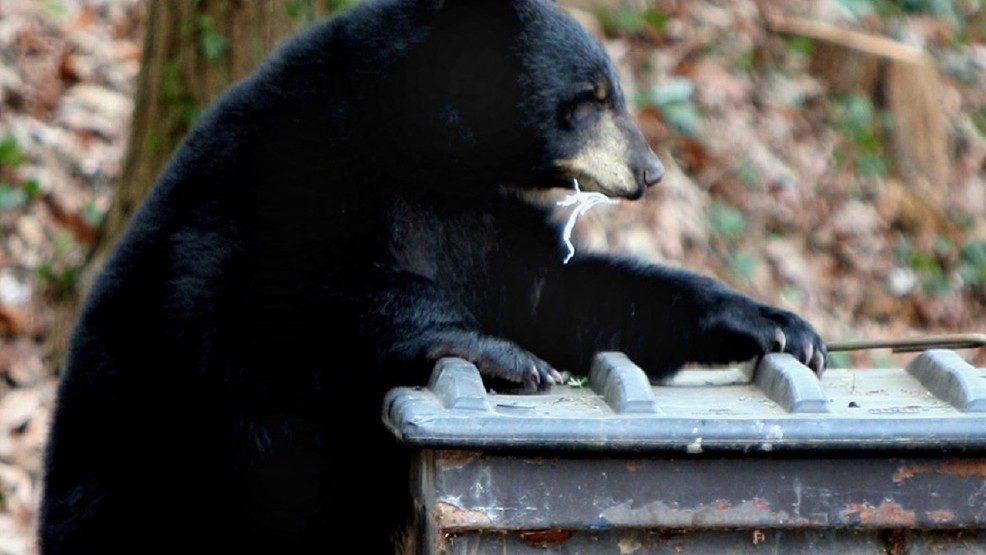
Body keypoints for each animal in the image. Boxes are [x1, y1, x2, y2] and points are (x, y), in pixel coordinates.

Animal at [40, 0, 826, 553]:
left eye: (612, 93)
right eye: (591, 96)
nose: (650, 171)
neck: (409, 143)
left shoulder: (474, 219)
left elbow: (562, 294)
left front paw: (775, 324)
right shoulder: (271, 171)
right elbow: (255, 298)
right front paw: (500, 352)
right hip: (145, 473)